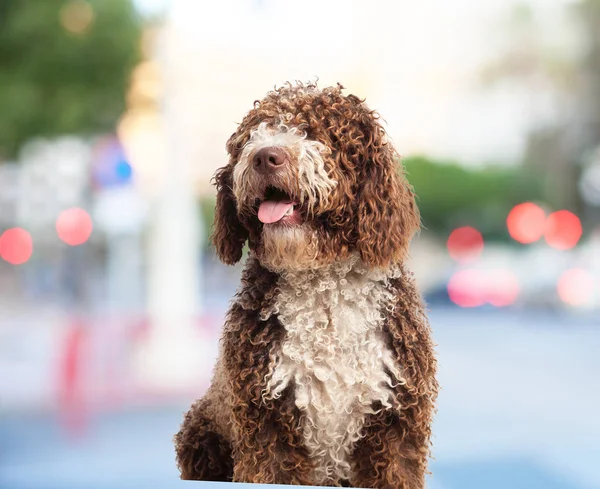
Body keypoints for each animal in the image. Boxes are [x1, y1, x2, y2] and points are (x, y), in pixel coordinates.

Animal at [172, 82, 436, 486]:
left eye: (315, 132)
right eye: (252, 136)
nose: (265, 157)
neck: (323, 289)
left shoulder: (394, 428)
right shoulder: (267, 428)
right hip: (201, 436)